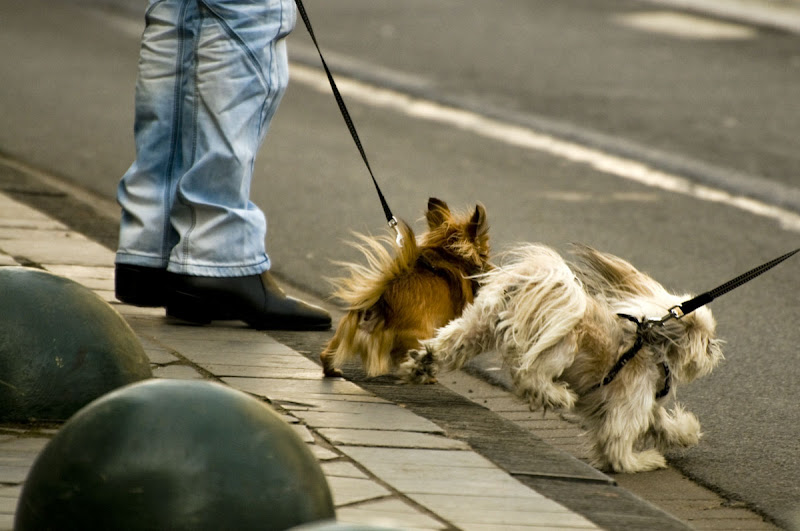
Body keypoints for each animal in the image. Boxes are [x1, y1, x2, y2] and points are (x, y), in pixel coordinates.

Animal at [322, 198, 490, 378]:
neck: (449, 258)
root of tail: (380, 305)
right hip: (418, 339)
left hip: (345, 331)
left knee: (326, 355)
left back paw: (332, 370)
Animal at [400, 245, 724, 474]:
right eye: (707, 341)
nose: (717, 349)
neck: (651, 344)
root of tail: (532, 284)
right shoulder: (629, 405)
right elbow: (618, 447)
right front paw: (643, 461)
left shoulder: (644, 402)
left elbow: (661, 423)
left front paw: (685, 432)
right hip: (561, 344)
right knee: (530, 376)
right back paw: (557, 396)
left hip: (478, 327)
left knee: (451, 343)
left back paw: (423, 361)